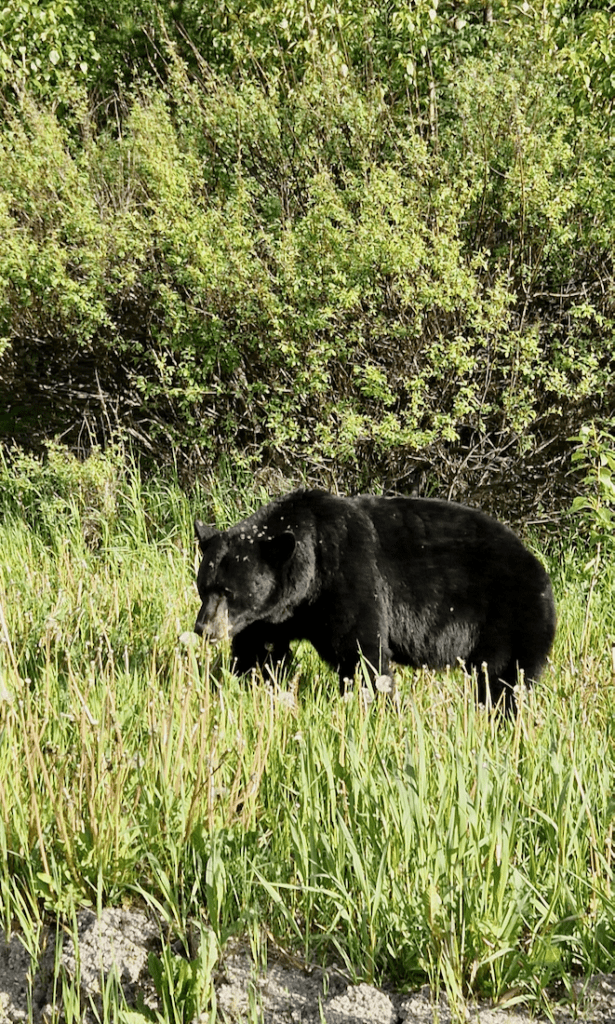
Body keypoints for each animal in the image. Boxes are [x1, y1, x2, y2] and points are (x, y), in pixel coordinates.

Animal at [193, 489, 556, 713]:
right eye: (203, 586)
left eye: (228, 591)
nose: (203, 628)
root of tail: (538, 568)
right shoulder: (271, 616)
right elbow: (258, 652)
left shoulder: (349, 577)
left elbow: (361, 650)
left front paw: (379, 705)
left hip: (509, 618)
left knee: (503, 678)